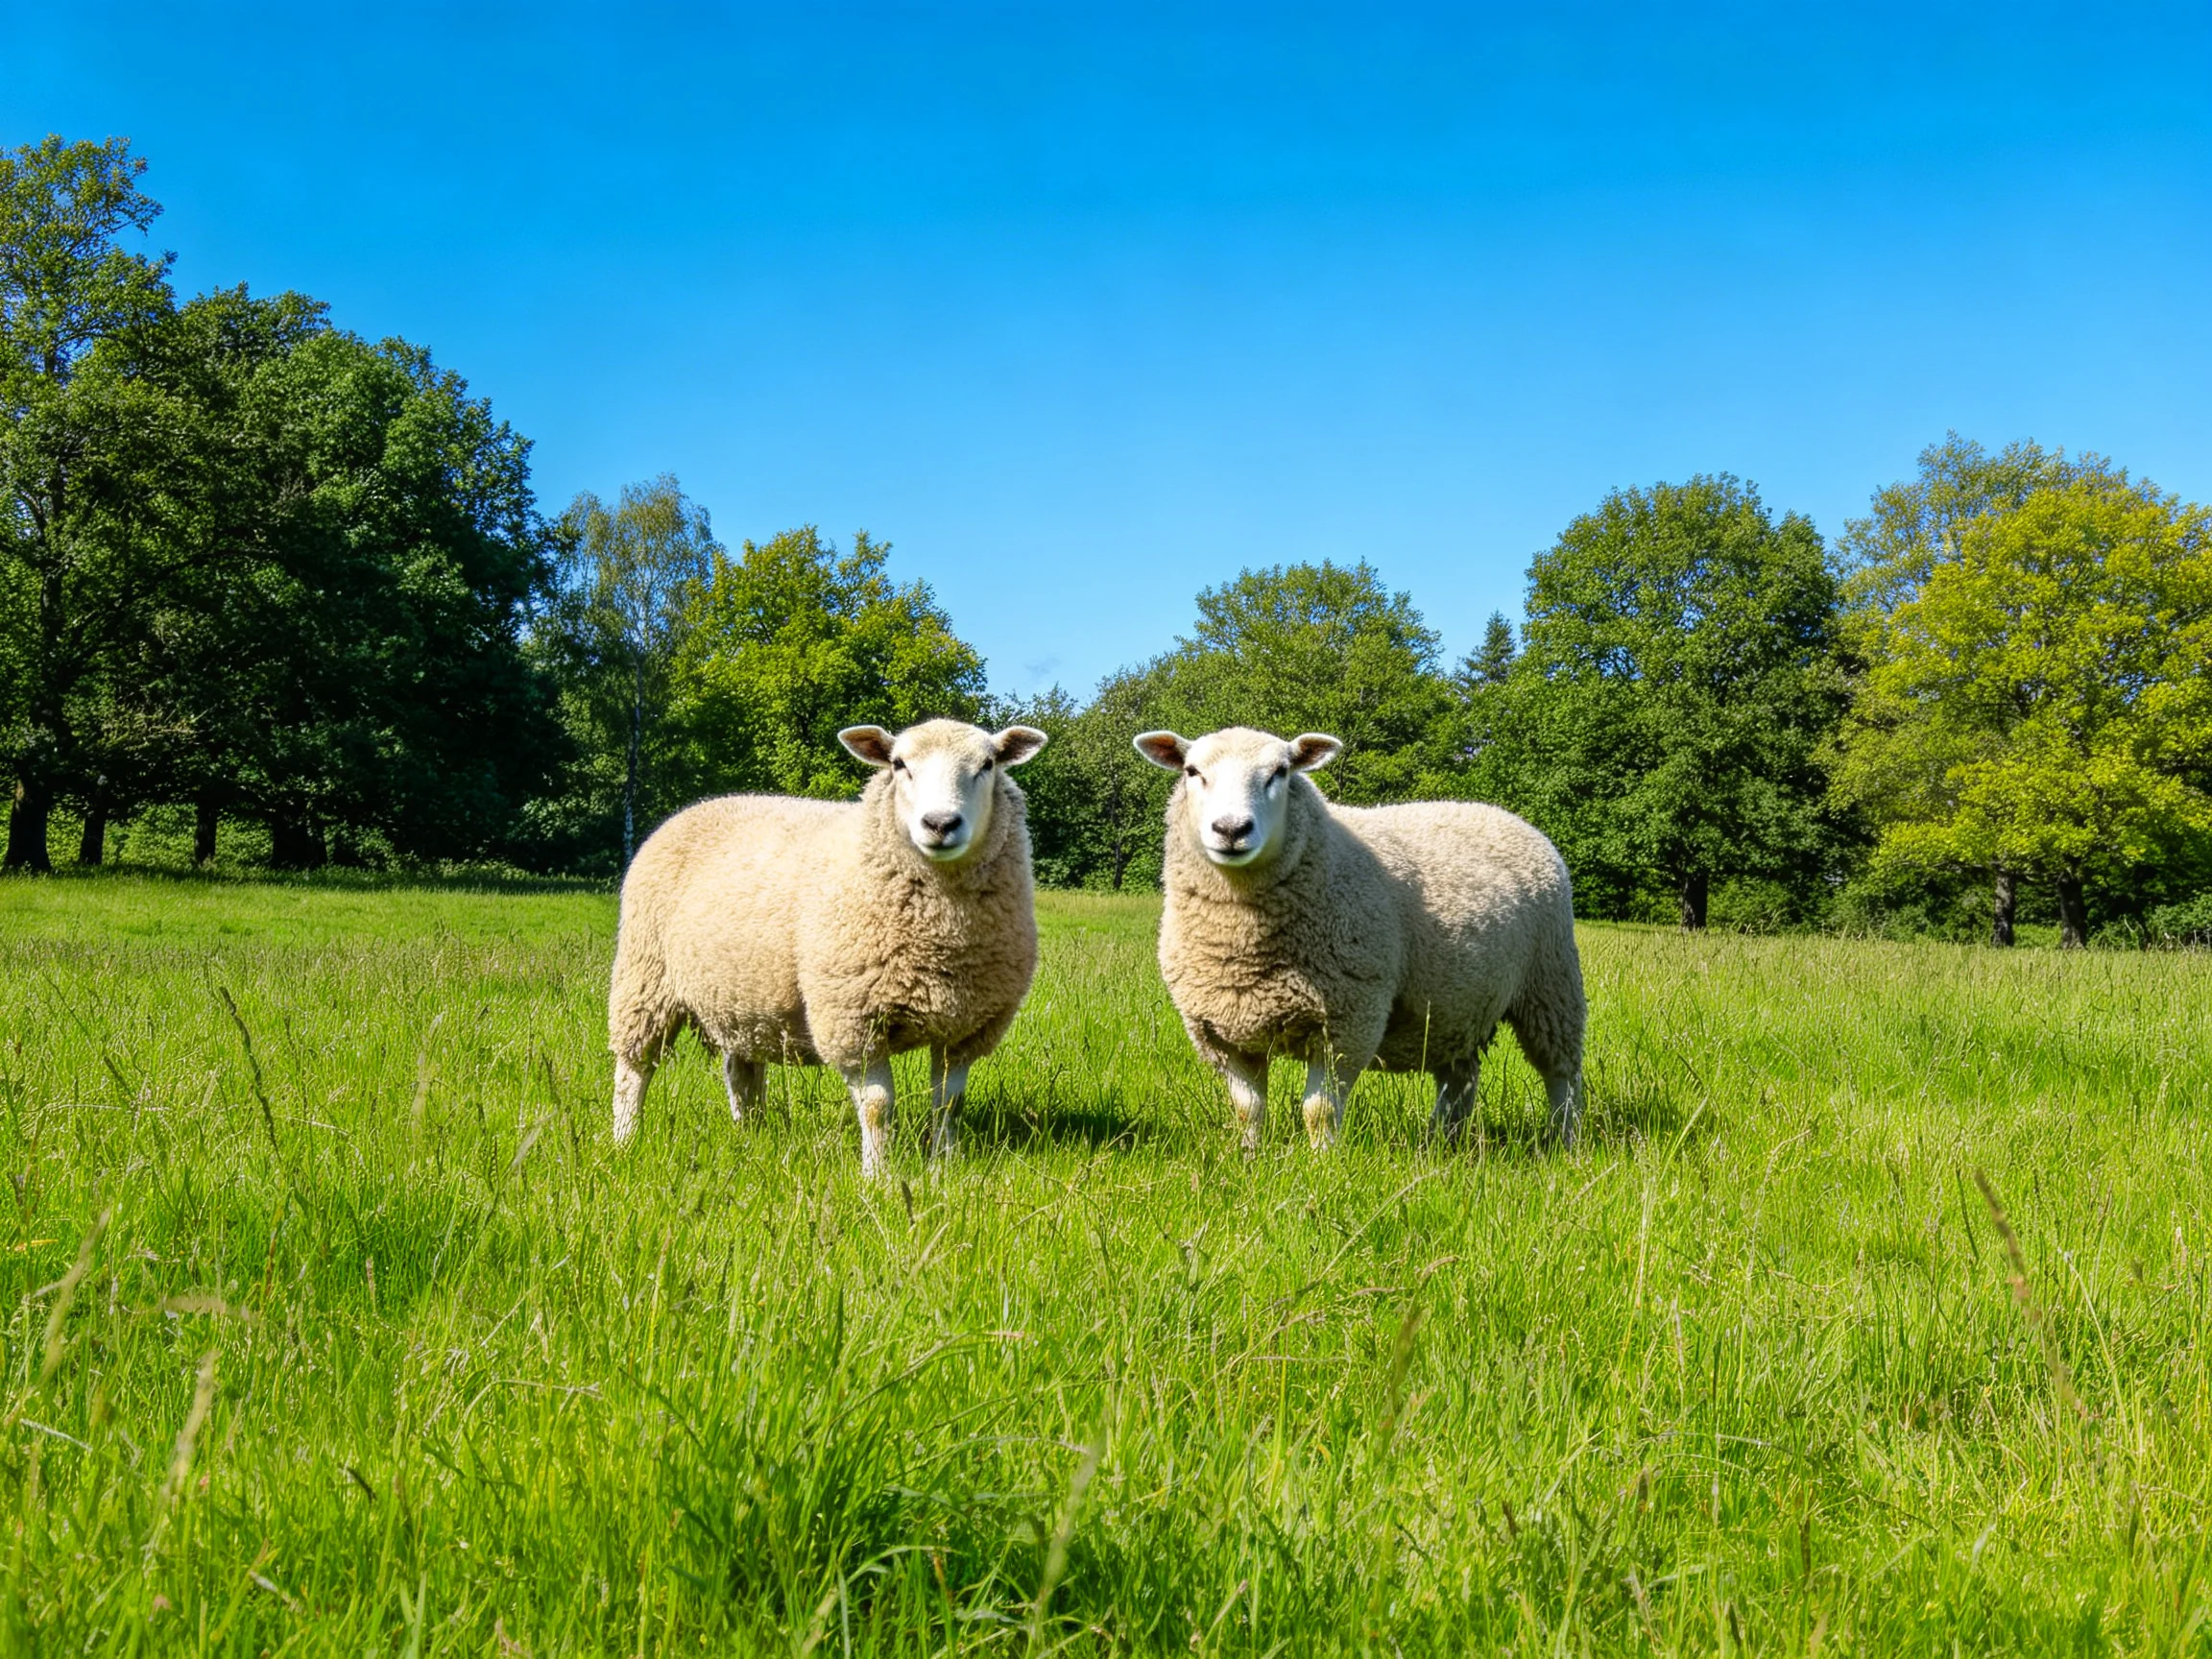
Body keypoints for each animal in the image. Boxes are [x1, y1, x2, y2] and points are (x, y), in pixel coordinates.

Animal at [607, 718, 1048, 1176]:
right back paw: (626, 1140)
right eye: (899, 764)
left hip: (739, 996)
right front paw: (878, 1176)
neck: (941, 935)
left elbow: (949, 1104)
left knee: (740, 1069)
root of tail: (702, 805)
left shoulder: (967, 1027)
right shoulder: (852, 1019)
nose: (940, 823)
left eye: (987, 764)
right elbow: (877, 1107)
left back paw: (752, 1134)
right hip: (645, 978)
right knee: (633, 1069)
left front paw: (944, 1168)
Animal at [1134, 725, 1586, 1152]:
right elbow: (1248, 1109)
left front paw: (1322, 1163)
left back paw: (1566, 1141)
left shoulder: (1348, 1019)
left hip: (1551, 983)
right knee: (1460, 1079)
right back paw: (1440, 1142)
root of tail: (1501, 813)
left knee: (1562, 1074)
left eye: (1281, 772)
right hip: (1455, 1006)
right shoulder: (1221, 1032)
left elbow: (1318, 1111)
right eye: (1193, 772)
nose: (1231, 829)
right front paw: (1248, 1158)